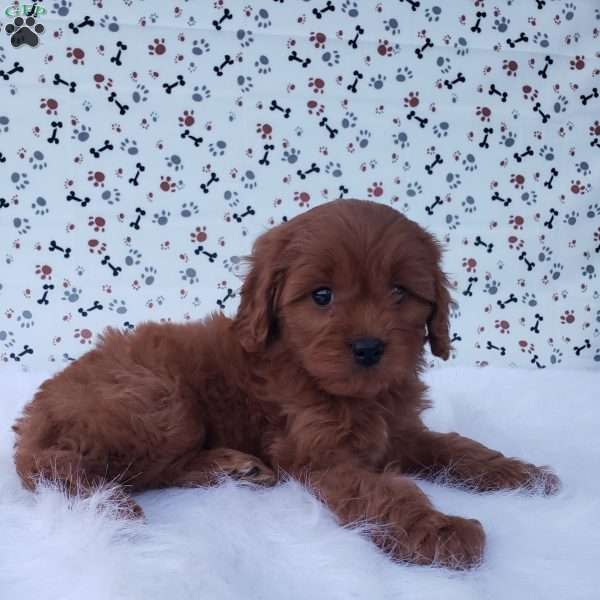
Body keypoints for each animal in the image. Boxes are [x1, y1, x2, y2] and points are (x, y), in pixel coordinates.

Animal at [11, 200, 560, 568]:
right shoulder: (319, 456)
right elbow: (384, 493)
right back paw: (109, 504)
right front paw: (441, 530)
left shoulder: (404, 433)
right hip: (159, 404)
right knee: (62, 466)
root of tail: (32, 415)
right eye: (321, 295)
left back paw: (233, 468)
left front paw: (520, 473)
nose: (368, 348)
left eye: (400, 292)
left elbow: (459, 448)